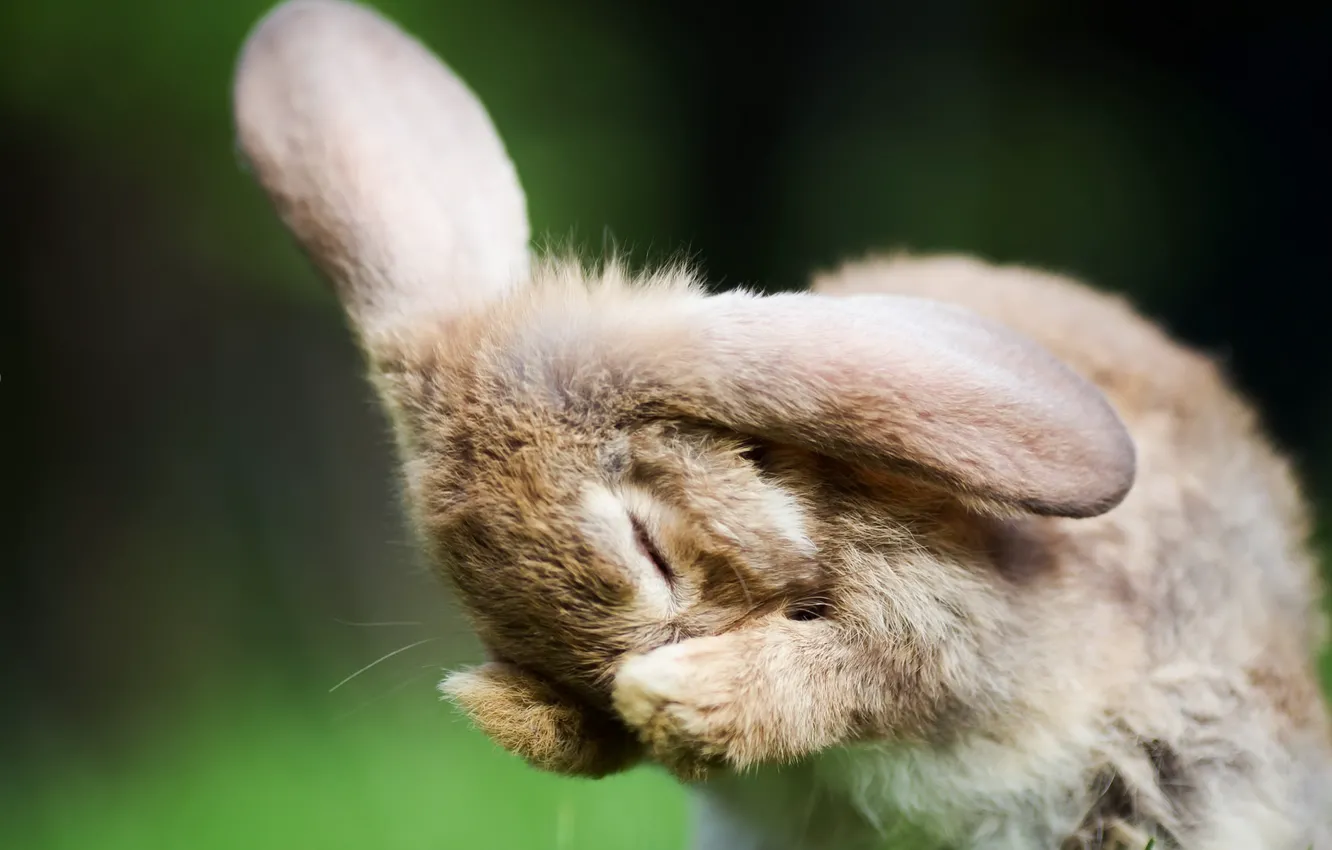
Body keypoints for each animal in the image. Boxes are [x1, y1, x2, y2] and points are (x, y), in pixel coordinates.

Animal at [232, 1, 1332, 847]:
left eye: (646, 544)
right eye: (474, 598)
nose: (610, 686)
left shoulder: (957, 627)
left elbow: (869, 672)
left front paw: (670, 698)